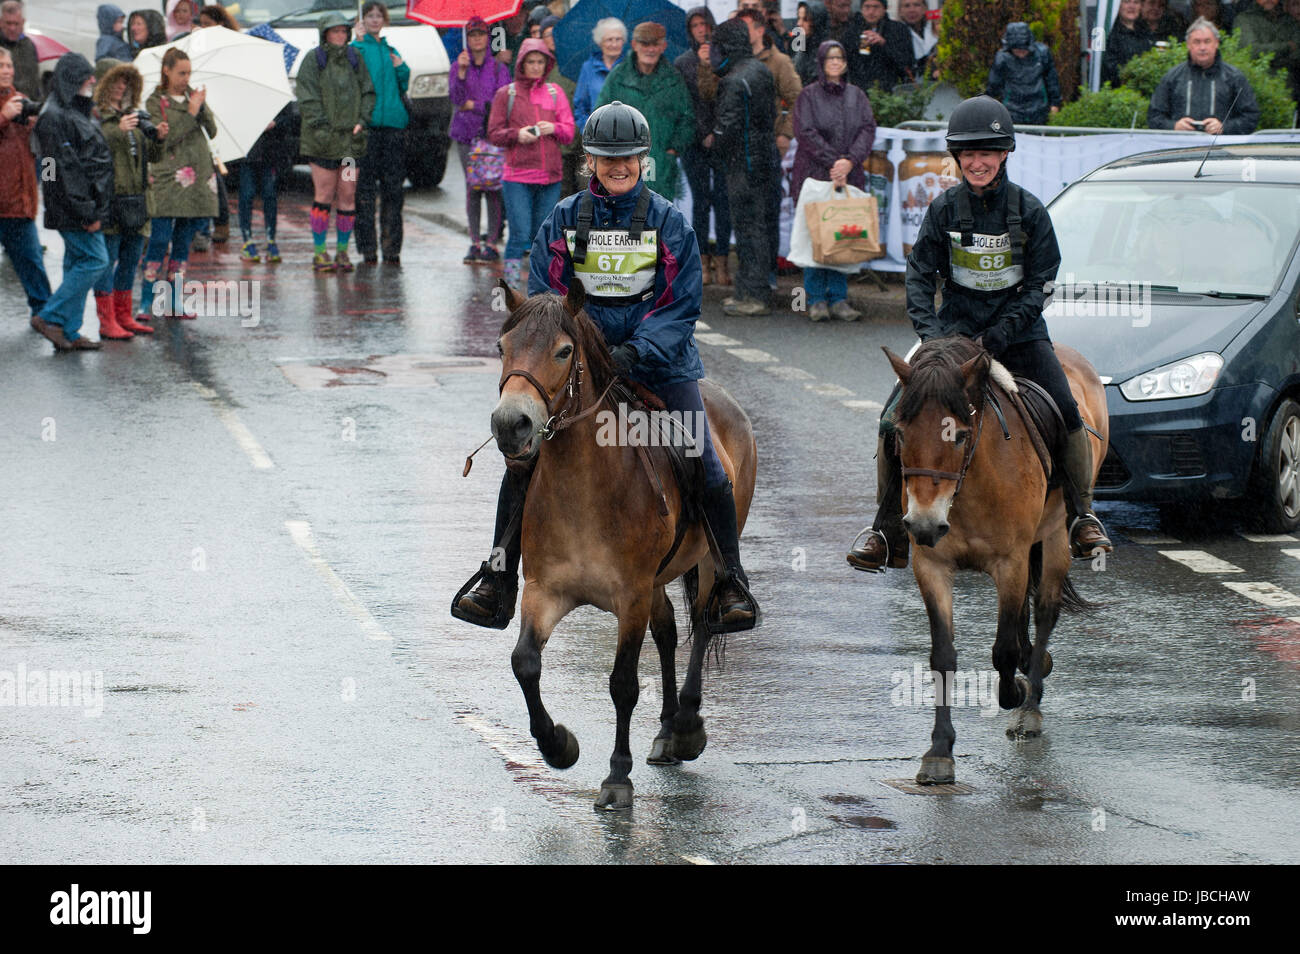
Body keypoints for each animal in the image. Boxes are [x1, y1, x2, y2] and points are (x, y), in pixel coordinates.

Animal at [488, 280, 759, 811]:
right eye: (502, 347)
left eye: (563, 350)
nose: (511, 424)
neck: (585, 488)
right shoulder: (545, 590)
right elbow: (524, 663)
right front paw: (558, 745)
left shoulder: (629, 597)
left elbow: (623, 684)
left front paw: (617, 776)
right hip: (655, 581)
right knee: (669, 630)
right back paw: (668, 731)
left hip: (710, 558)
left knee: (703, 622)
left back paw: (687, 725)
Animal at [883, 335, 1107, 785]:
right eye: (899, 433)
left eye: (959, 435)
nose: (923, 524)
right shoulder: (932, 566)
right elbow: (943, 655)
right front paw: (939, 752)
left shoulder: (1011, 562)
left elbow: (1002, 650)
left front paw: (1016, 694)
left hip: (1054, 540)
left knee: (1044, 611)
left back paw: (1031, 705)